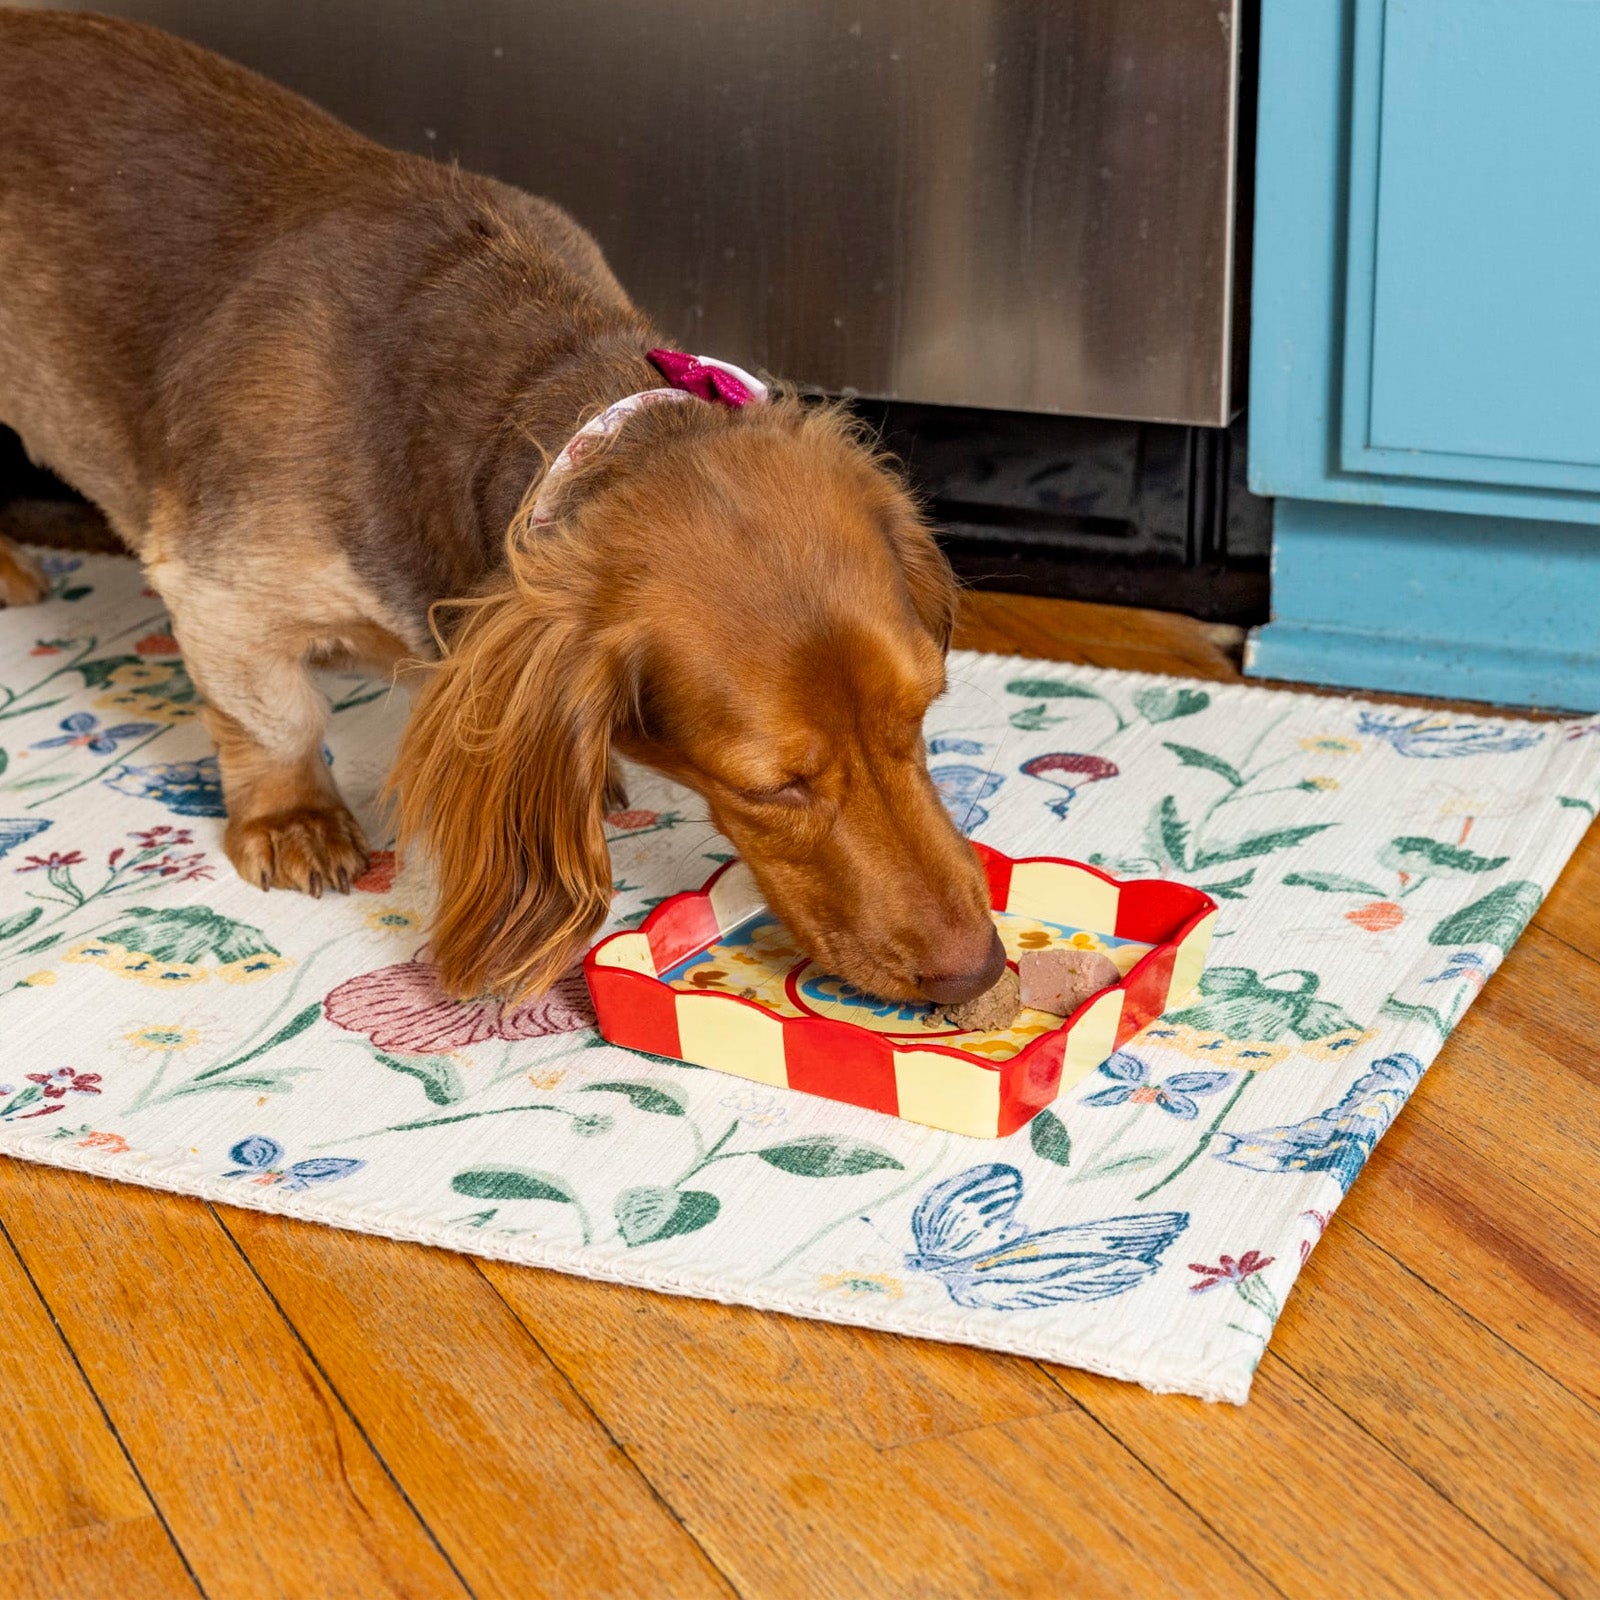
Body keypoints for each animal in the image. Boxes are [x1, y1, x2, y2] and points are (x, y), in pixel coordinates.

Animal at [0, 12, 998, 1004]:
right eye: (770, 786)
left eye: (924, 710)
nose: (980, 972)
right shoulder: (220, 588)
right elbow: (276, 717)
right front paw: (291, 820)